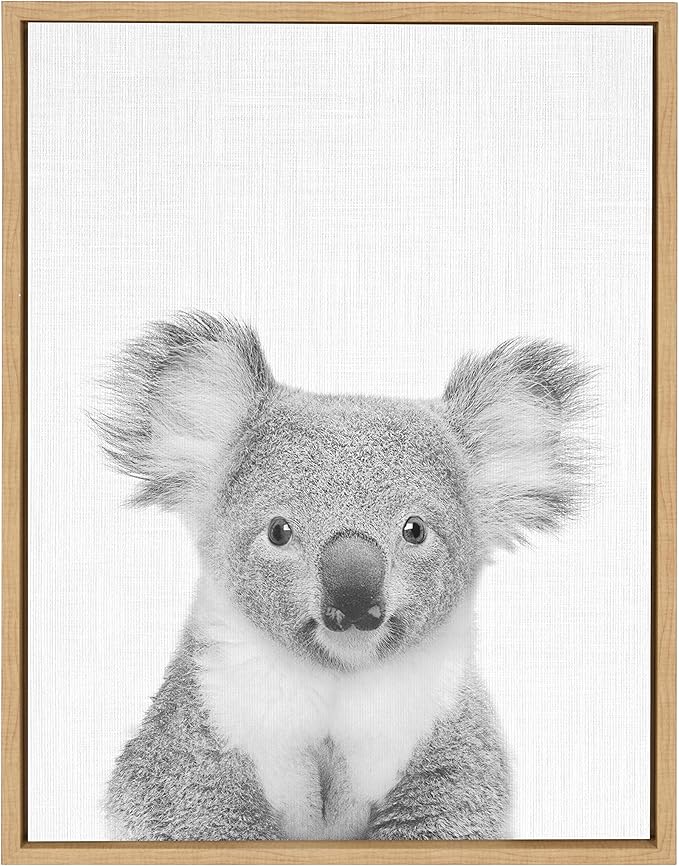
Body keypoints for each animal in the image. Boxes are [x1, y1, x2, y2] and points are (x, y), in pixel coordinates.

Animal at [95, 311, 592, 841]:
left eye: (414, 530)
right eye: (279, 531)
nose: (354, 600)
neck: (338, 678)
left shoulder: (445, 741)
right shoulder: (200, 734)